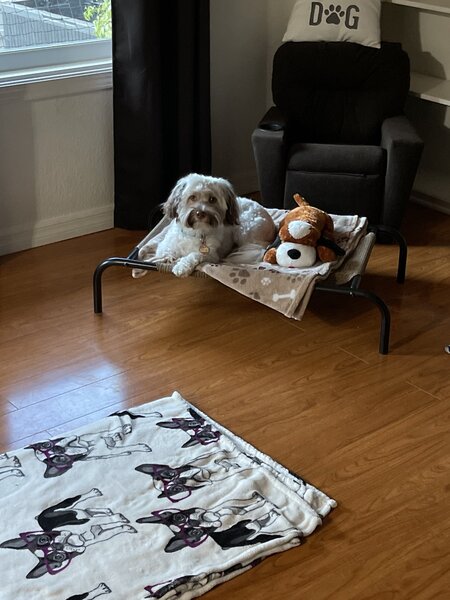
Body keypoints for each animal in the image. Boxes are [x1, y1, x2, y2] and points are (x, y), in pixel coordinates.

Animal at [132, 174, 276, 278]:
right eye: (192, 197)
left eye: (212, 199)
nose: (200, 213)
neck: (195, 232)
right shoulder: (166, 247)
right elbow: (162, 255)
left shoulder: (211, 255)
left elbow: (195, 255)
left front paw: (181, 267)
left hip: (244, 229)